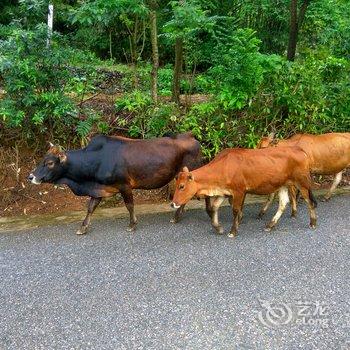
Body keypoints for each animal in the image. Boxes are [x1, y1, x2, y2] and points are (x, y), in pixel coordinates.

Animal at [28, 133, 209, 234]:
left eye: (50, 163)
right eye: (42, 159)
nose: (30, 176)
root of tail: (191, 136)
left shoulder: (124, 186)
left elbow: (129, 205)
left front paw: (132, 224)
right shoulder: (98, 190)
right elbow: (90, 208)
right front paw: (83, 227)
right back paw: (178, 215)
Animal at [171, 146, 318, 237]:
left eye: (182, 186)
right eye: (176, 184)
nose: (172, 204)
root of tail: (299, 149)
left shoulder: (239, 191)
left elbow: (236, 210)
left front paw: (233, 231)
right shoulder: (224, 192)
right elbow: (214, 208)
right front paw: (218, 227)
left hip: (302, 182)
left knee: (310, 201)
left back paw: (312, 223)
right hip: (282, 184)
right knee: (283, 203)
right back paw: (270, 225)